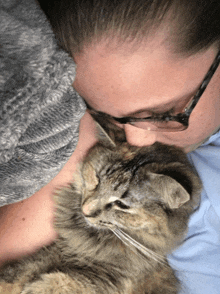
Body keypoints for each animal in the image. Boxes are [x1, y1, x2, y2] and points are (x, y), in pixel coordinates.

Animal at [0, 123, 201, 292]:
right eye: (97, 178)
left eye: (121, 204)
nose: (86, 210)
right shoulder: (56, 250)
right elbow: (19, 271)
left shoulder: (110, 277)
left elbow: (63, 282)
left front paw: (36, 288)